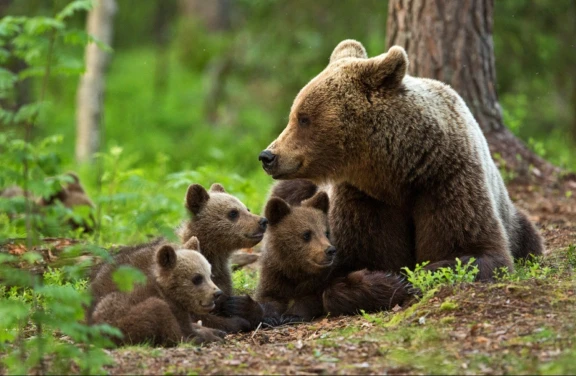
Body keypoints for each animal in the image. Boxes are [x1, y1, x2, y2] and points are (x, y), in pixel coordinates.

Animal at [258, 39, 544, 314]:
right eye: (295, 114)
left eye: (303, 118)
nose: (268, 156)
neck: (398, 171)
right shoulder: (365, 198)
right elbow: (355, 260)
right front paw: (384, 279)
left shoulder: (447, 179)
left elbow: (474, 251)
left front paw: (414, 275)